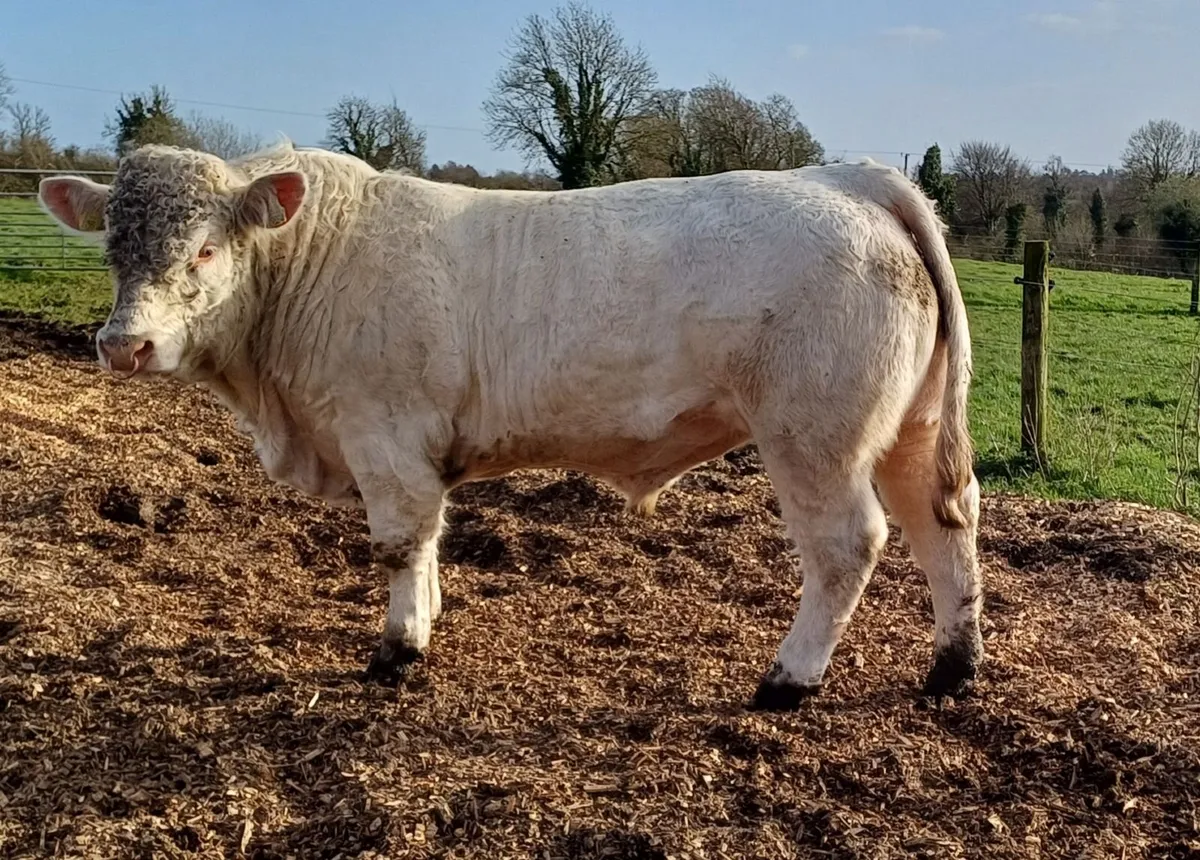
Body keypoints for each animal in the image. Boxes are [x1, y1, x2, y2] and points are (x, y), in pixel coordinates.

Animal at [37, 141, 983, 710]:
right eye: (112, 248)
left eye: (204, 250)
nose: (123, 345)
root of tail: (845, 176)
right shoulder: (419, 452)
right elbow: (430, 537)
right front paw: (428, 614)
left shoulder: (383, 435)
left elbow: (398, 543)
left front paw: (399, 648)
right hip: (906, 428)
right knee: (945, 524)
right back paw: (951, 667)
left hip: (814, 437)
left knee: (848, 546)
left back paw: (788, 679)